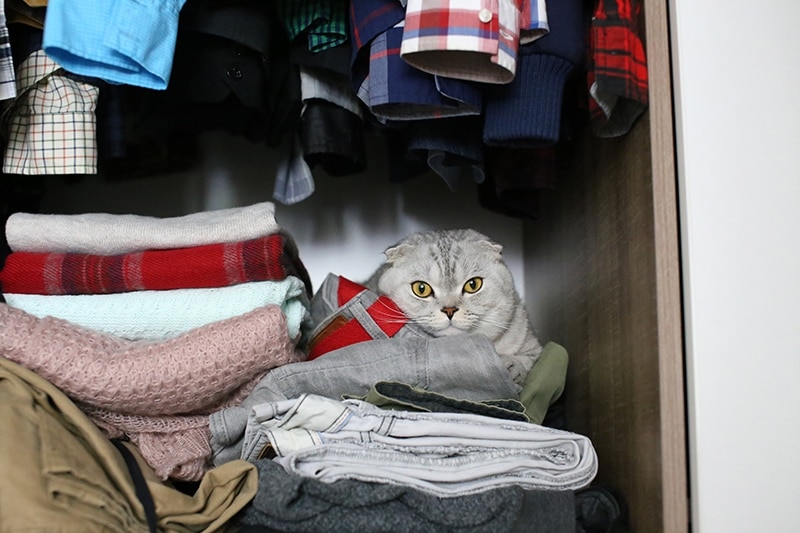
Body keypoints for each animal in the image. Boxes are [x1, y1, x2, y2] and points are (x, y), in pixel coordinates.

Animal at [364, 227, 544, 384]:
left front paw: (511, 366)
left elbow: (526, 361)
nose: (449, 310)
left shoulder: (533, 346)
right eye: (421, 288)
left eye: (473, 285)